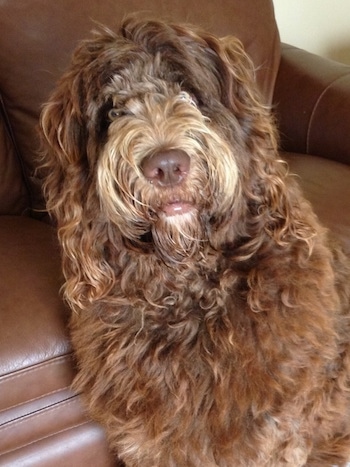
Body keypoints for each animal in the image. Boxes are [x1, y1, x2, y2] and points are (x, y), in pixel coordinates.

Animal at [39, 16, 350, 466]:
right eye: (113, 110)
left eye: (187, 93)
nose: (167, 165)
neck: (187, 285)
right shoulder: (144, 438)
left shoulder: (276, 432)